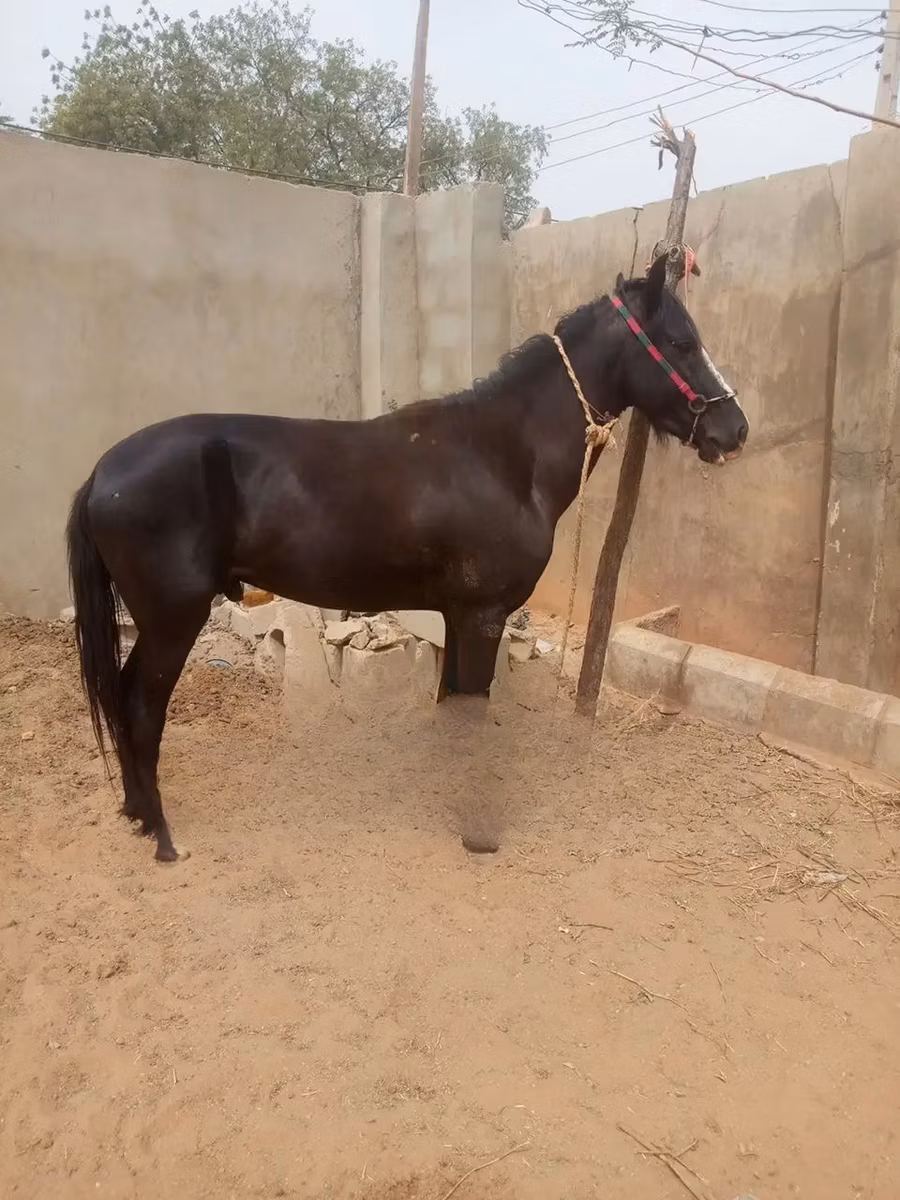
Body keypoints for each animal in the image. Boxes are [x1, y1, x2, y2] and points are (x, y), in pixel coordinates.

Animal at [66, 254, 748, 862]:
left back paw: (136, 812)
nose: (735, 431)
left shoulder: (456, 615)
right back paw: (161, 834)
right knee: (139, 706)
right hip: (172, 621)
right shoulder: (483, 616)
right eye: (682, 341)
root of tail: (102, 472)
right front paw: (479, 833)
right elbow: (473, 713)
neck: (502, 455)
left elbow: (452, 709)